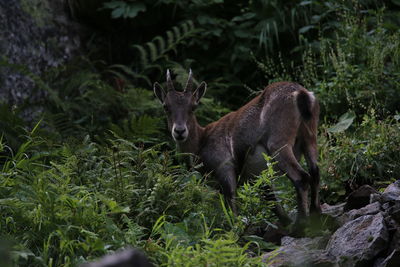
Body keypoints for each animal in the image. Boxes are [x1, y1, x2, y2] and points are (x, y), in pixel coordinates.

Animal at [154, 70, 322, 227]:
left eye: (193, 106)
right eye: (166, 106)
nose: (179, 131)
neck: (201, 141)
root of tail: (301, 94)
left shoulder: (225, 167)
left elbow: (232, 204)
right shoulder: (256, 175)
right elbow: (273, 203)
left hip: (278, 143)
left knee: (301, 177)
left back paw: (301, 223)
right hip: (309, 136)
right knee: (315, 172)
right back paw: (316, 214)